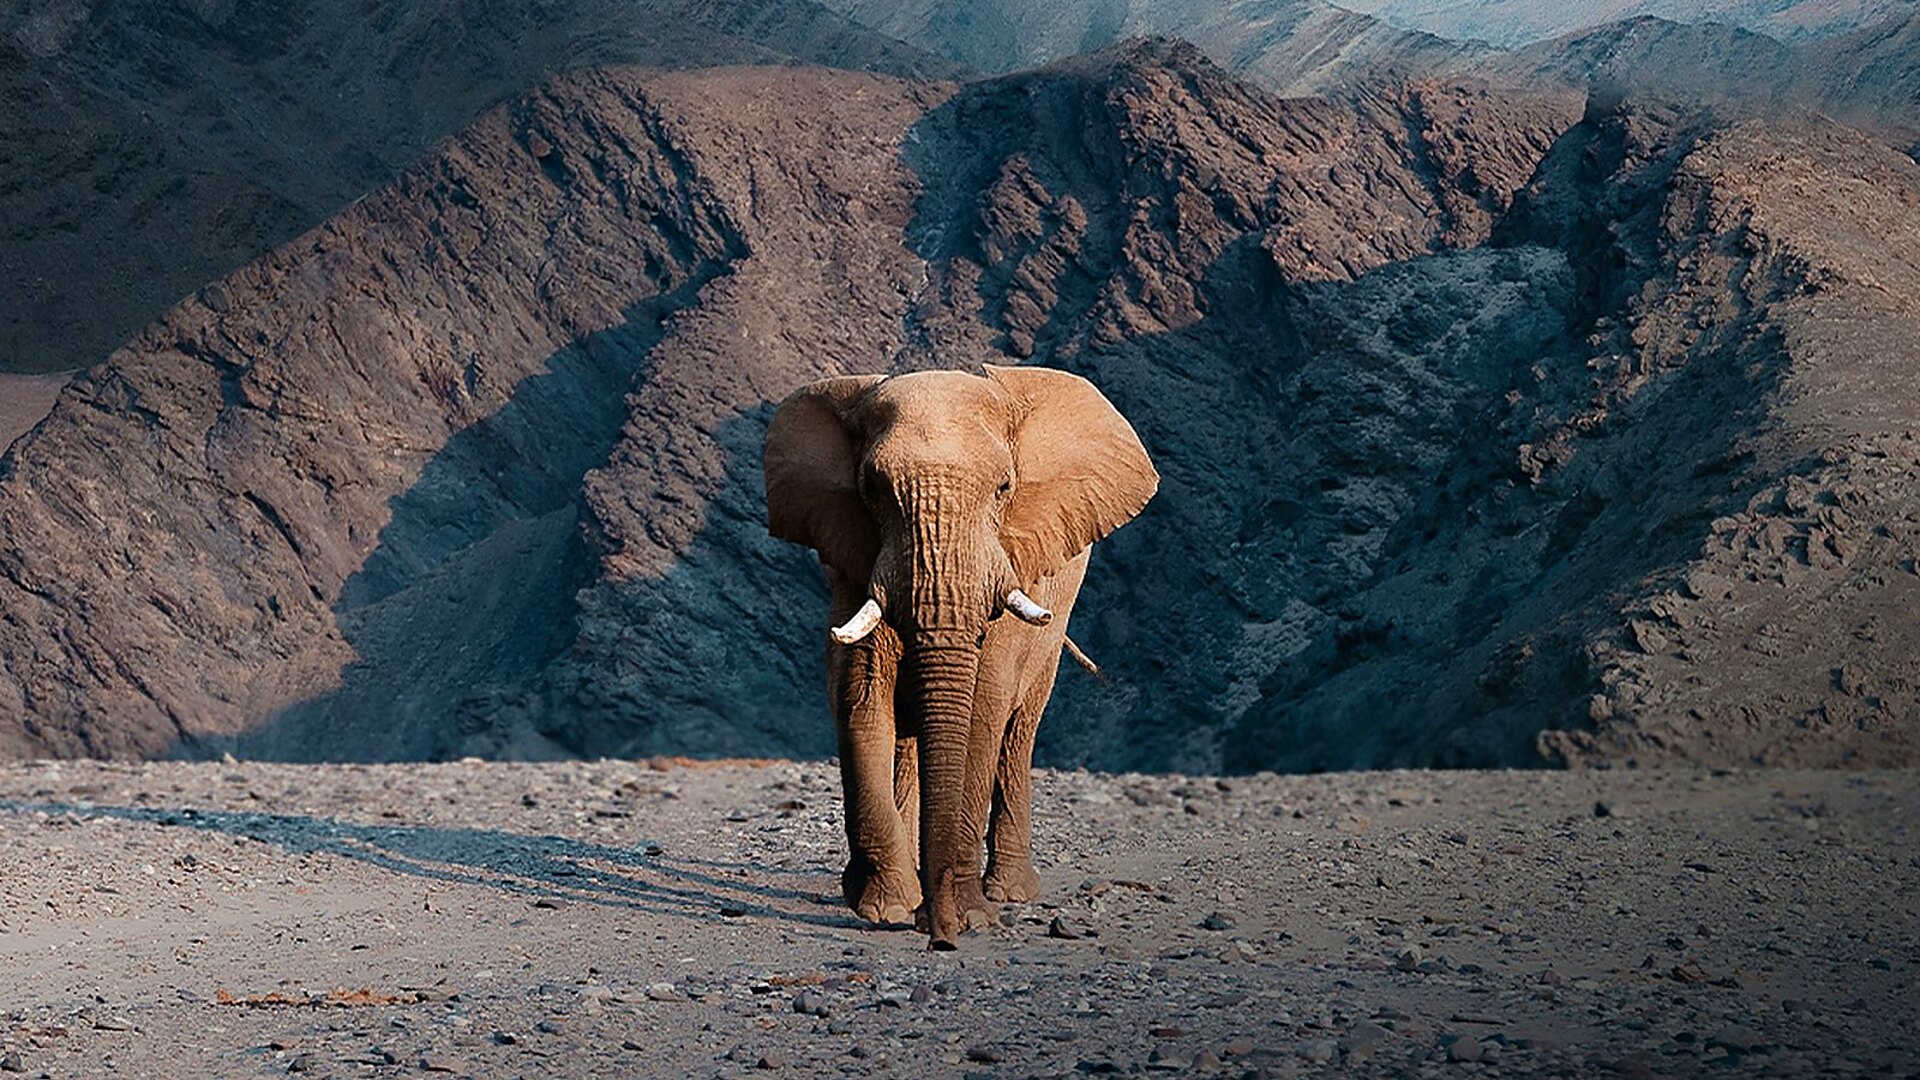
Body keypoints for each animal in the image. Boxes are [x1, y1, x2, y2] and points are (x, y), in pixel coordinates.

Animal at [763, 364, 1157, 949]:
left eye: (1004, 488)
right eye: (871, 490)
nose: (940, 938)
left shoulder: (1014, 560)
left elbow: (982, 707)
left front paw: (969, 916)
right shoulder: (854, 561)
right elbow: (861, 699)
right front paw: (887, 908)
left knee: (1020, 729)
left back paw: (1011, 892)